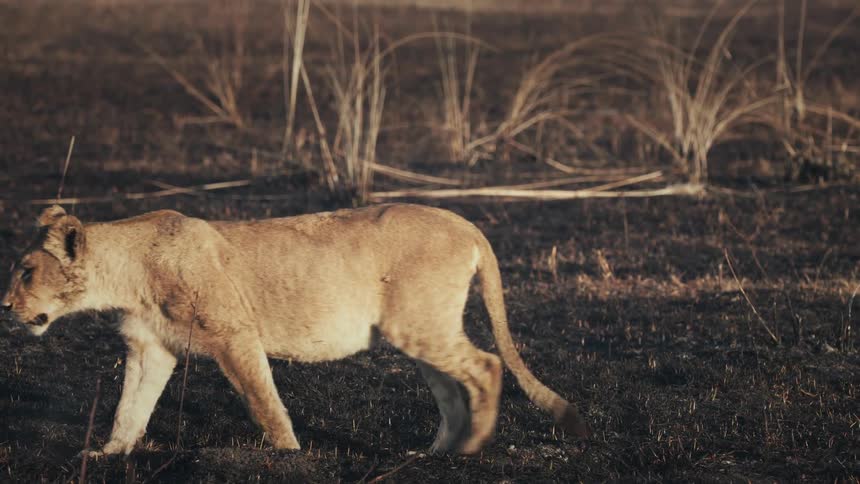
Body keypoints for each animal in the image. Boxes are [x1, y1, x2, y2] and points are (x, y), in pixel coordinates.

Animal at [1, 203, 588, 456]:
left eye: (26, 270)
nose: (5, 304)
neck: (126, 273)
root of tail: (466, 223)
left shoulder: (233, 334)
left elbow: (261, 399)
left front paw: (288, 454)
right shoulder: (152, 347)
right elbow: (131, 406)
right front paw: (109, 454)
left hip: (420, 323)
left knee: (487, 365)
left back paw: (470, 450)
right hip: (419, 331)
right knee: (450, 388)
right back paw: (434, 454)